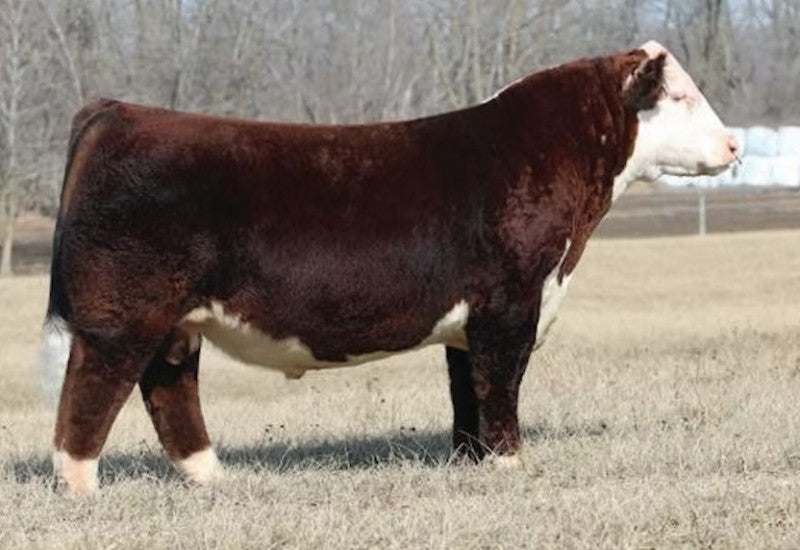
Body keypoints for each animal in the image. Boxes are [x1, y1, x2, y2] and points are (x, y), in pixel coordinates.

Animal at [42, 41, 738, 495]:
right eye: (680, 95)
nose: (734, 144)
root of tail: (118, 111)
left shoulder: (472, 319)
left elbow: (467, 393)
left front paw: (470, 462)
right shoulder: (510, 305)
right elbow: (501, 386)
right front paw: (511, 465)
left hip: (174, 321)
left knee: (169, 388)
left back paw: (213, 476)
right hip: (121, 316)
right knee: (91, 389)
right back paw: (81, 487)